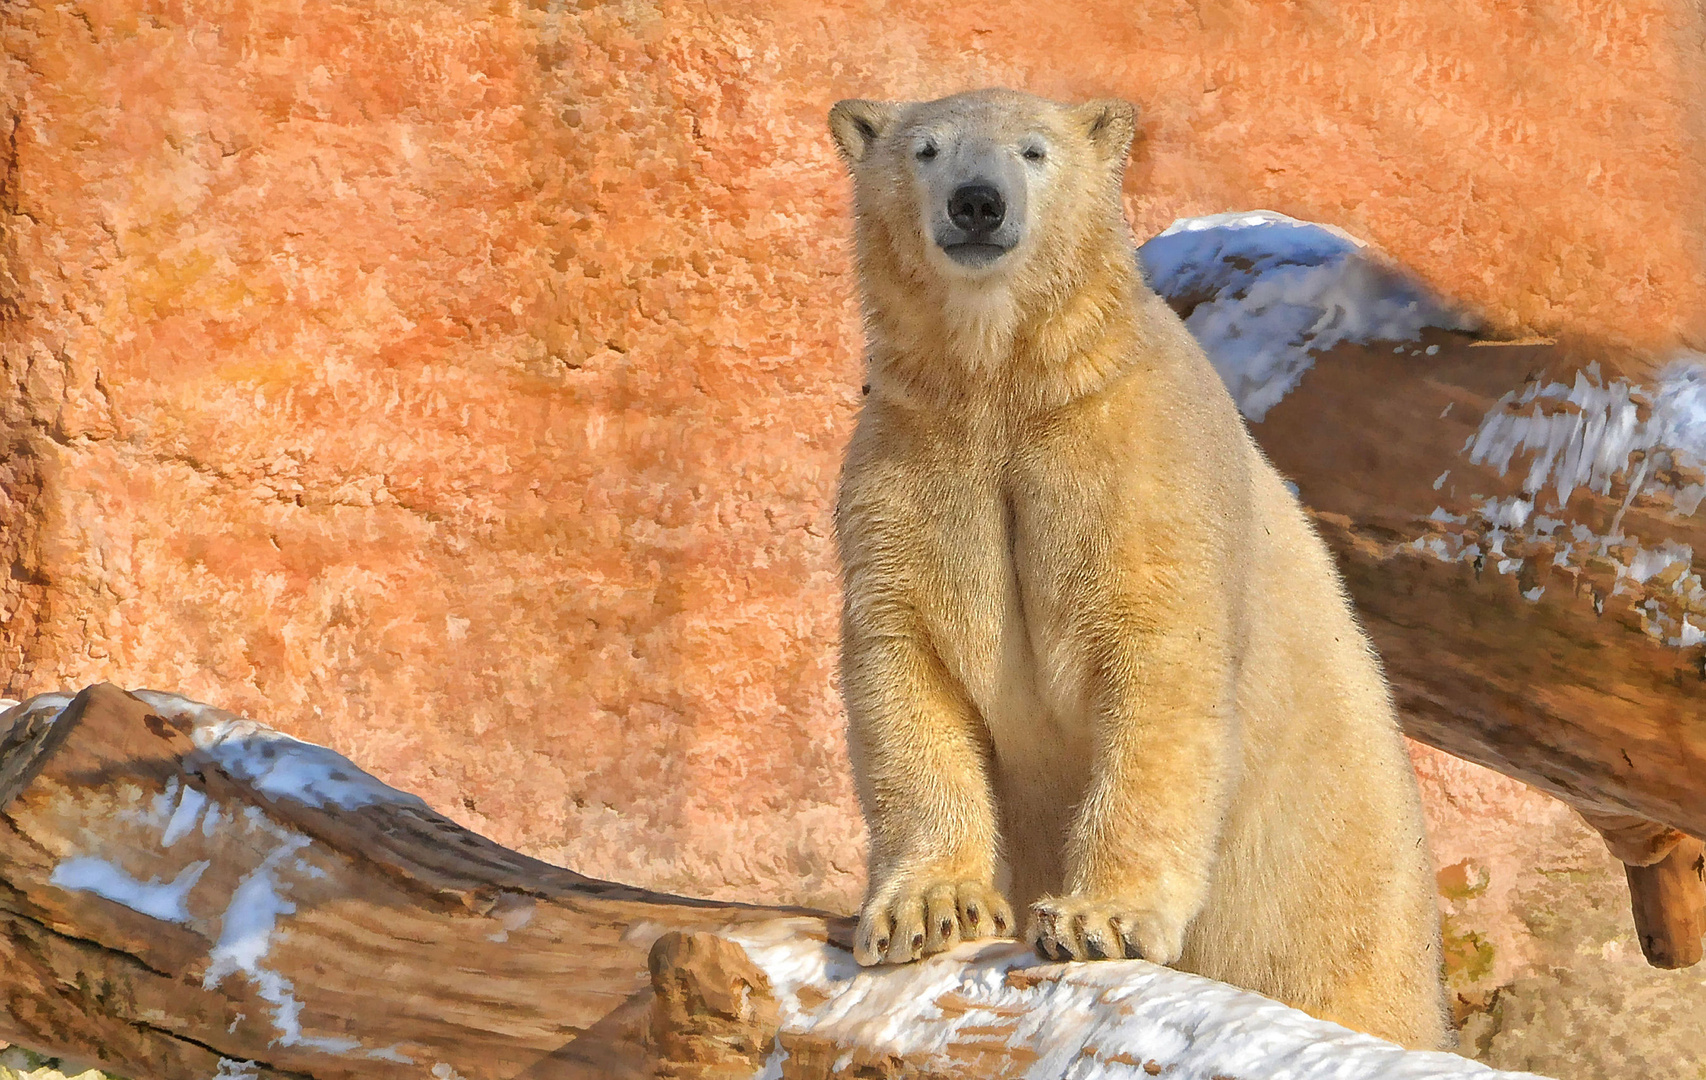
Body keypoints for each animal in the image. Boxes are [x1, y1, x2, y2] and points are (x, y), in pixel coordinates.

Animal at [825, 88, 1453, 1050]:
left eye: (1033, 150)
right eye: (926, 149)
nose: (978, 203)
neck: (1006, 380)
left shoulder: (1139, 456)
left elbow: (1158, 670)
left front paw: (1099, 919)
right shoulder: (913, 470)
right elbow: (909, 662)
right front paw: (932, 908)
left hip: (1339, 905)